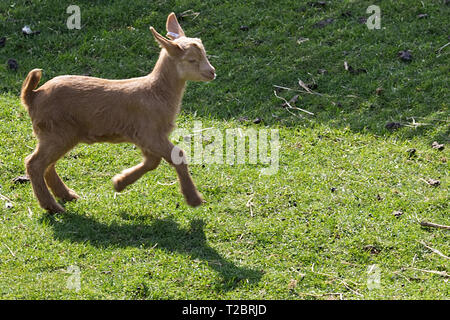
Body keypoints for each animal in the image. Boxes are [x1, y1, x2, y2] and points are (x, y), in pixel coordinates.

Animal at [21, 12, 216, 214]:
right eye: (191, 60)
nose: (212, 72)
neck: (156, 92)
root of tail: (33, 95)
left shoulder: (144, 137)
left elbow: (152, 162)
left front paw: (119, 183)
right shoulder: (150, 133)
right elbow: (177, 156)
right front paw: (193, 199)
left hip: (60, 135)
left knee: (47, 165)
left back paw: (66, 195)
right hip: (56, 132)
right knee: (34, 164)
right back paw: (51, 205)